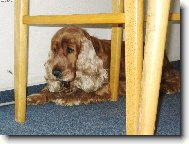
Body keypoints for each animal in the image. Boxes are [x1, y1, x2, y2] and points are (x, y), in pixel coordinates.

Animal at [27, 26, 180, 106]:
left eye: (70, 50)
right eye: (54, 50)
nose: (55, 73)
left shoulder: (106, 86)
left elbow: (85, 92)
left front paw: (66, 98)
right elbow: (48, 91)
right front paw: (35, 96)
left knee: (174, 78)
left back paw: (166, 88)